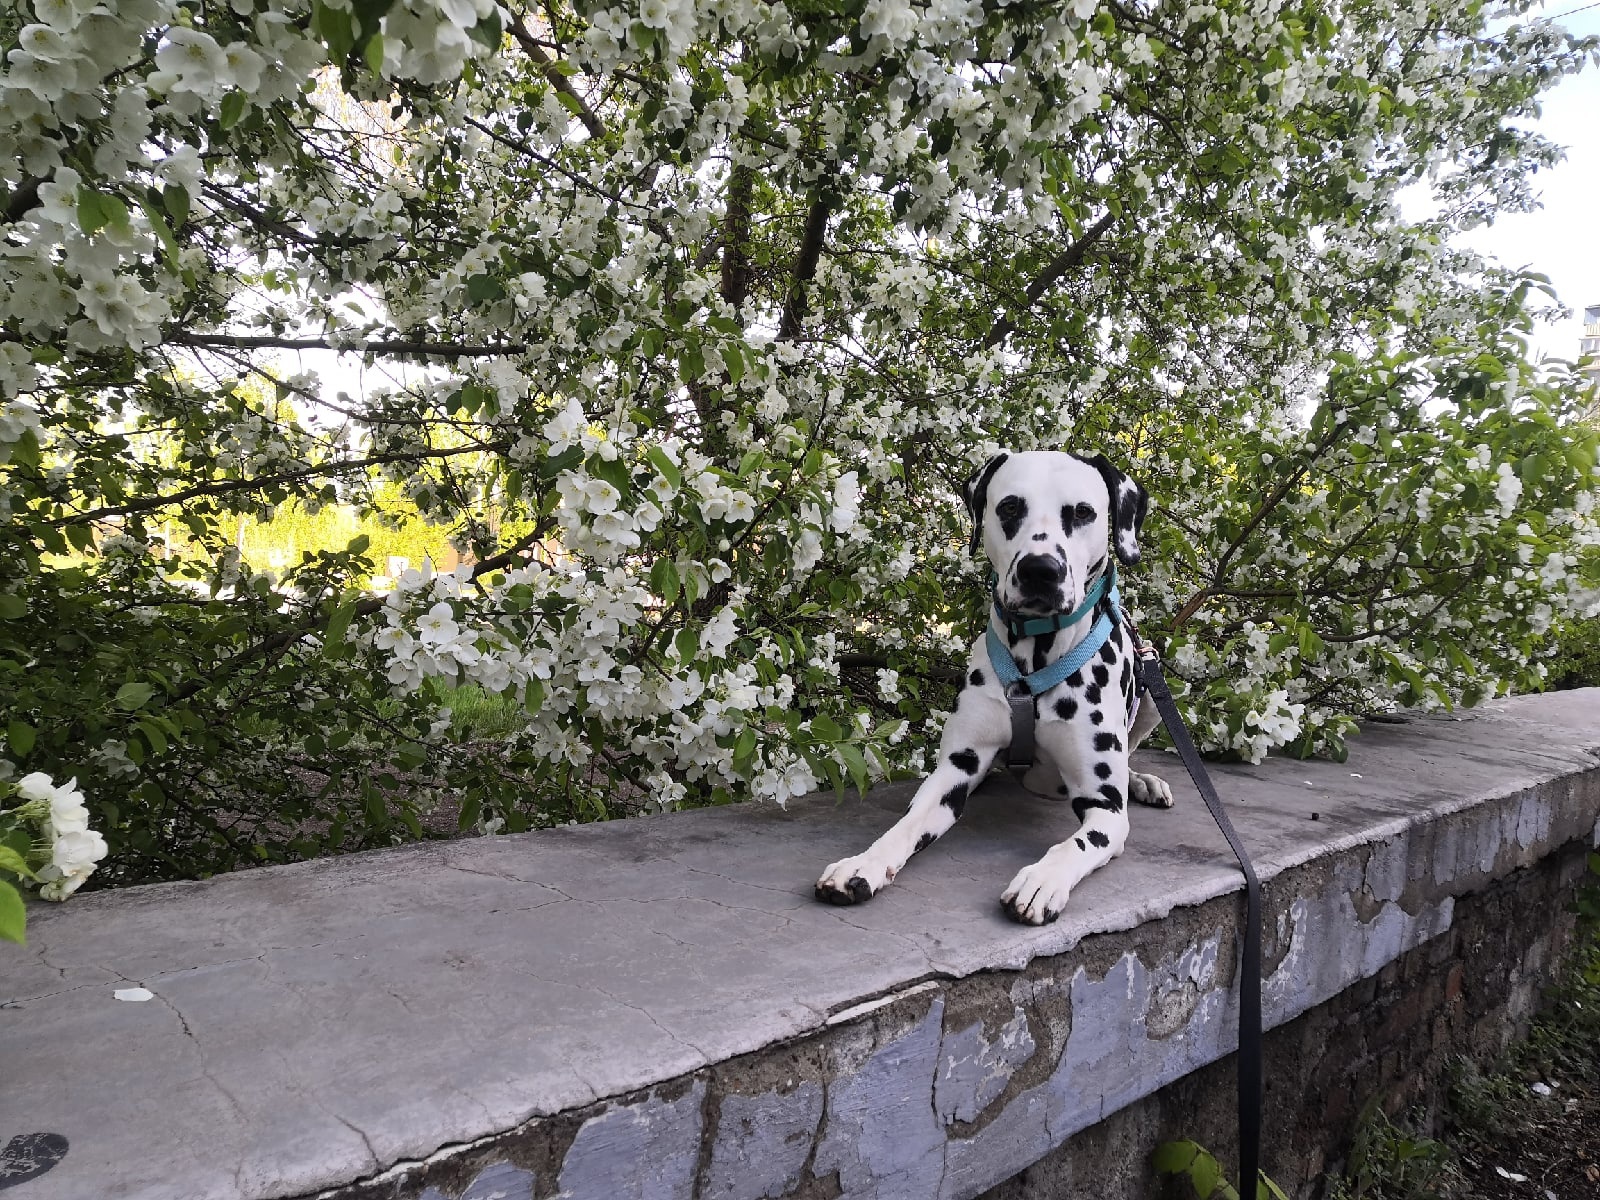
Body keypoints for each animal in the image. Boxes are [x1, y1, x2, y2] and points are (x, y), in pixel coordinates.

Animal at [812, 451, 1177, 928]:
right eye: (1009, 507)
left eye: (1082, 512)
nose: (1040, 570)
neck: (1033, 661)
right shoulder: (954, 771)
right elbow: (905, 826)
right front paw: (864, 863)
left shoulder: (1106, 811)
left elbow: (1073, 845)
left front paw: (1042, 880)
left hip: (1154, 692)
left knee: (1132, 750)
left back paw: (1143, 781)